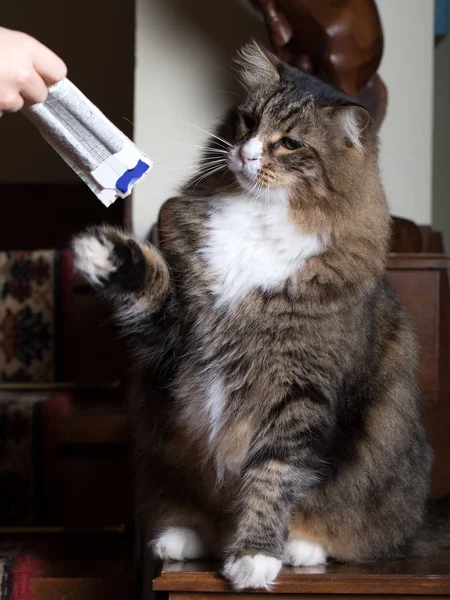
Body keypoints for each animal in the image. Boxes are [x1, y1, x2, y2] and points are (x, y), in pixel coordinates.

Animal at [72, 42, 448, 592]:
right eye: (248, 122)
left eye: (289, 144)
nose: (246, 153)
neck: (259, 219)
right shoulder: (178, 339)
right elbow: (149, 286)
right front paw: (103, 254)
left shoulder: (300, 390)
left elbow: (274, 475)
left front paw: (253, 557)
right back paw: (182, 537)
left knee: (357, 535)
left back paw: (299, 549)